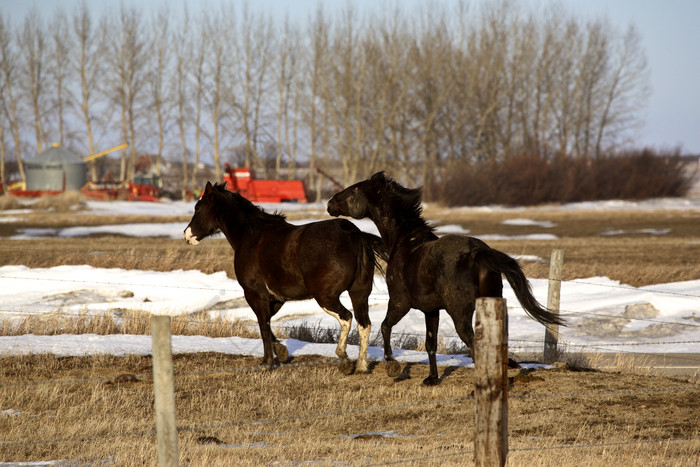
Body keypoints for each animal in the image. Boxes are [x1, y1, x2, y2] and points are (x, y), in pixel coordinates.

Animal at [183, 182, 386, 372]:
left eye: (198, 208)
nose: (186, 235)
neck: (251, 237)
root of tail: (353, 234)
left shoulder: (255, 294)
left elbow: (263, 324)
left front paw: (267, 362)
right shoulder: (277, 298)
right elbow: (267, 322)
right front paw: (281, 352)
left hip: (326, 297)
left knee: (346, 317)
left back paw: (343, 357)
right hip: (359, 294)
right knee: (364, 323)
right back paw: (361, 366)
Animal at [326, 174, 564, 386]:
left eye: (354, 190)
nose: (330, 204)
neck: (405, 244)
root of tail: (478, 253)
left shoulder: (400, 302)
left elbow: (385, 326)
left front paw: (392, 367)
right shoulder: (431, 310)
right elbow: (430, 343)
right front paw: (431, 379)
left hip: (460, 314)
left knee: (475, 346)